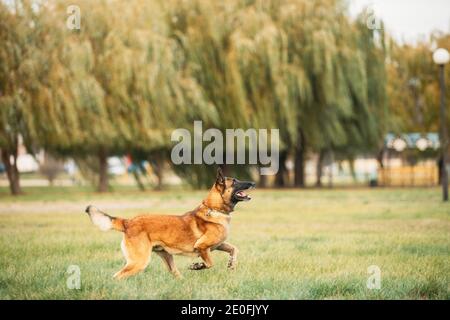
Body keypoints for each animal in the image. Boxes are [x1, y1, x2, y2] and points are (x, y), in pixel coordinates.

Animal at [84, 169, 253, 278]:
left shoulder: (218, 245)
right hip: (140, 261)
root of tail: (128, 222)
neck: (214, 209)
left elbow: (234, 249)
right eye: (235, 181)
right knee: (118, 276)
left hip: (167, 258)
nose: (252, 182)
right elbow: (210, 263)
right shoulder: (202, 246)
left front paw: (231, 264)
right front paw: (197, 266)